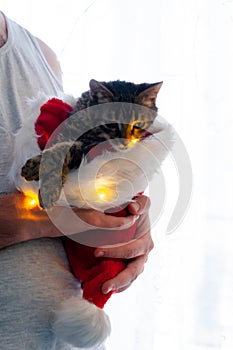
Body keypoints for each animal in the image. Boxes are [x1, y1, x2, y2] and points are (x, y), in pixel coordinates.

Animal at [20, 79, 162, 208]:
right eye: (111, 124)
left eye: (138, 125)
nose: (125, 142)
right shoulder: (65, 131)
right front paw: (43, 176)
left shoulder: (91, 147)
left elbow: (65, 150)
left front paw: (47, 186)